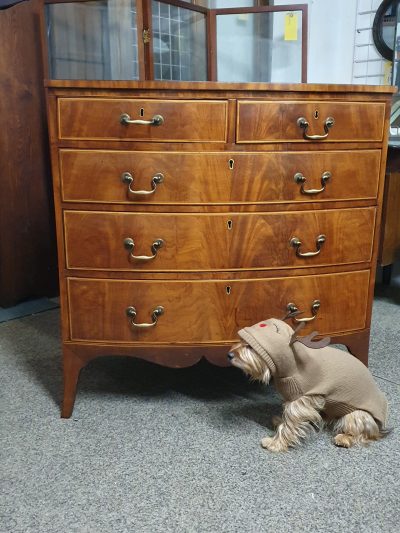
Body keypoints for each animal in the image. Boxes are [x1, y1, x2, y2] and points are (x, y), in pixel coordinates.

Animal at [230, 318, 390, 450]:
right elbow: (287, 418)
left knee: (363, 433)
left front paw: (276, 443)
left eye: (250, 347)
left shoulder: (301, 401)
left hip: (356, 415)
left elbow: (290, 424)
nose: (229, 354)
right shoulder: (292, 397)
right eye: (240, 340)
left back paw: (344, 438)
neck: (293, 364)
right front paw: (280, 421)